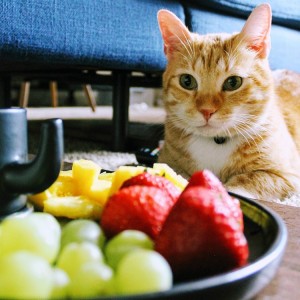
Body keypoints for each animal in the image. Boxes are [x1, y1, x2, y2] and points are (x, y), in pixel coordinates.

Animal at [156, 3, 300, 200]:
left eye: (233, 82)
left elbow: (247, 180)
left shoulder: (288, 176)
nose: (207, 110)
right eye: (187, 81)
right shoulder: (167, 161)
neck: (216, 142)